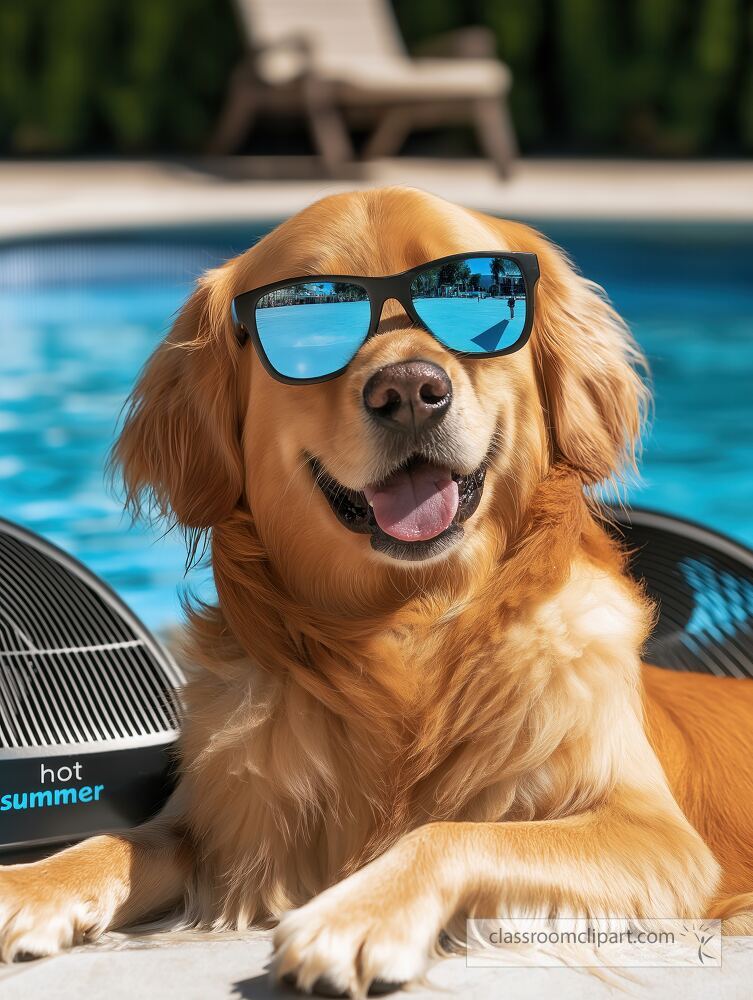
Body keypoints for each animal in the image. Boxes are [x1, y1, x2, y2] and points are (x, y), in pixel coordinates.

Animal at [1, 188, 752, 992]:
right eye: (309, 309)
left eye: (469, 287)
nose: (412, 391)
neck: (408, 627)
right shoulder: (230, 817)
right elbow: (130, 840)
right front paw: (30, 884)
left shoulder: (656, 836)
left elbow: (454, 831)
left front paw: (354, 914)